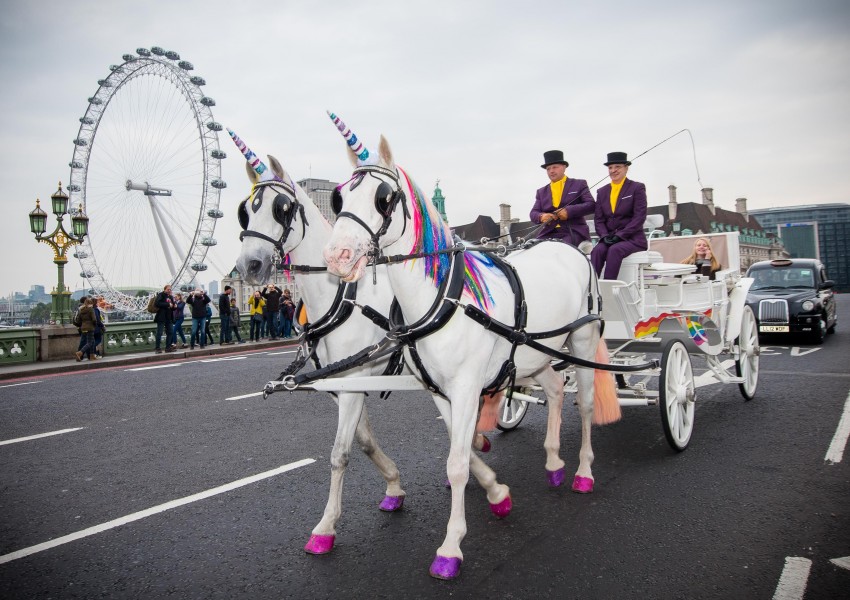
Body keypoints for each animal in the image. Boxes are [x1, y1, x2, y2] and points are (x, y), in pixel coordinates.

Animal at [229, 129, 500, 560]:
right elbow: (364, 440)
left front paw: (326, 527)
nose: (248, 266)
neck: (339, 296)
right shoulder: (343, 383)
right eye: (245, 211)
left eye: (281, 207)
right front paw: (393, 485)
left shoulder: (356, 381)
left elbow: (340, 453)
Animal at [322, 115, 620, 580]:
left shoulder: (465, 388)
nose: (336, 255)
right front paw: (497, 493)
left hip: (583, 341)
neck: (446, 297)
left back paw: (583, 472)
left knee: (586, 404)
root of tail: (570, 248)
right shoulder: (442, 390)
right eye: (339, 197)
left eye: (383, 198)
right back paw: (554, 463)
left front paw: (450, 549)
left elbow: (457, 463)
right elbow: (456, 447)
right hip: (539, 353)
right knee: (555, 391)